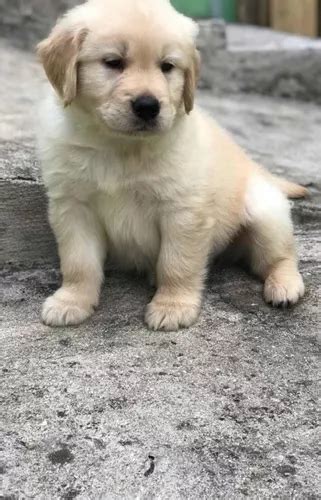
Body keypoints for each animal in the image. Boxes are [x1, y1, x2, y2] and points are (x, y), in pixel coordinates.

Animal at [36, 0, 306, 330]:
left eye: (167, 66)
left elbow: (176, 263)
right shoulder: (73, 206)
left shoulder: (183, 211)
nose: (148, 106)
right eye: (113, 62)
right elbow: (78, 262)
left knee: (281, 256)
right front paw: (71, 301)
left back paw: (285, 286)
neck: (119, 147)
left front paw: (173, 306)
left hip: (265, 214)